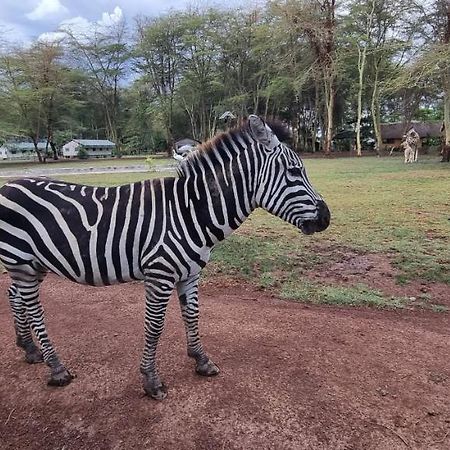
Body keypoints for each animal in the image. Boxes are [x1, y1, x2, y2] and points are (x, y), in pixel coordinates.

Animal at [0, 116, 330, 400]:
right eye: (294, 171)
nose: (326, 218)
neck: (190, 211)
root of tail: (8, 185)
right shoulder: (159, 275)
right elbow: (155, 325)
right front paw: (150, 380)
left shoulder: (191, 273)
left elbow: (192, 315)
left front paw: (201, 360)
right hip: (22, 262)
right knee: (33, 308)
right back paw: (56, 368)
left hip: (33, 264)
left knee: (14, 295)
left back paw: (29, 350)